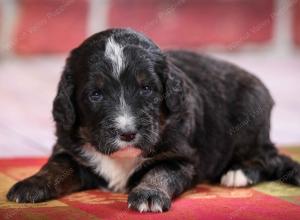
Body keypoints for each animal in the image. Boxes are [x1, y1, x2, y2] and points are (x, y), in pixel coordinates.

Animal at [7, 28, 300, 212]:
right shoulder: (70, 149)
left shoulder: (180, 158)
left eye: (147, 89)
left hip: (250, 119)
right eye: (95, 94)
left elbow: (159, 172)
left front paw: (149, 194)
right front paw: (30, 184)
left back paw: (238, 173)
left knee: (268, 157)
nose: (127, 134)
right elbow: (55, 167)